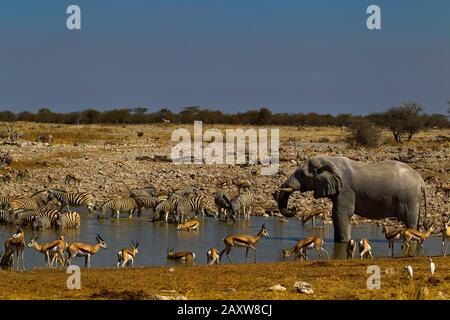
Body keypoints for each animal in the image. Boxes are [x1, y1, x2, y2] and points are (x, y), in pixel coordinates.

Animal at [276, 156, 428, 242]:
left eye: (301, 174)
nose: (294, 208)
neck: (330, 161)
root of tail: (422, 181)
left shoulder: (346, 190)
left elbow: (341, 213)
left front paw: (343, 242)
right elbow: (336, 213)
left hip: (410, 197)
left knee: (410, 220)